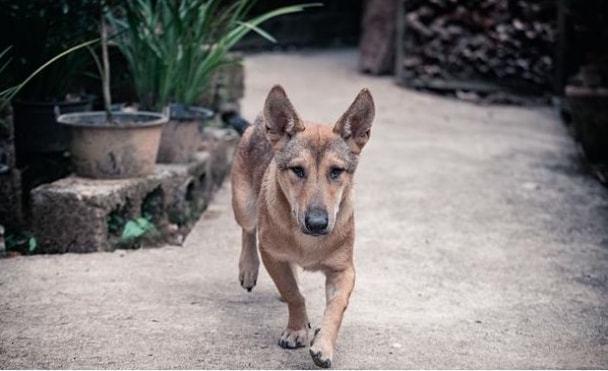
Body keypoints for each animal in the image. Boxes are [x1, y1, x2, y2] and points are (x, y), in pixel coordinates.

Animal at [230, 85, 372, 370]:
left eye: (336, 171)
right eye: (297, 170)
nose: (317, 223)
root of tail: (259, 122)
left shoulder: (344, 270)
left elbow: (336, 307)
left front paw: (323, 345)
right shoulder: (272, 256)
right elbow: (293, 294)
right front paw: (296, 330)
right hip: (243, 205)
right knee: (248, 231)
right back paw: (248, 268)